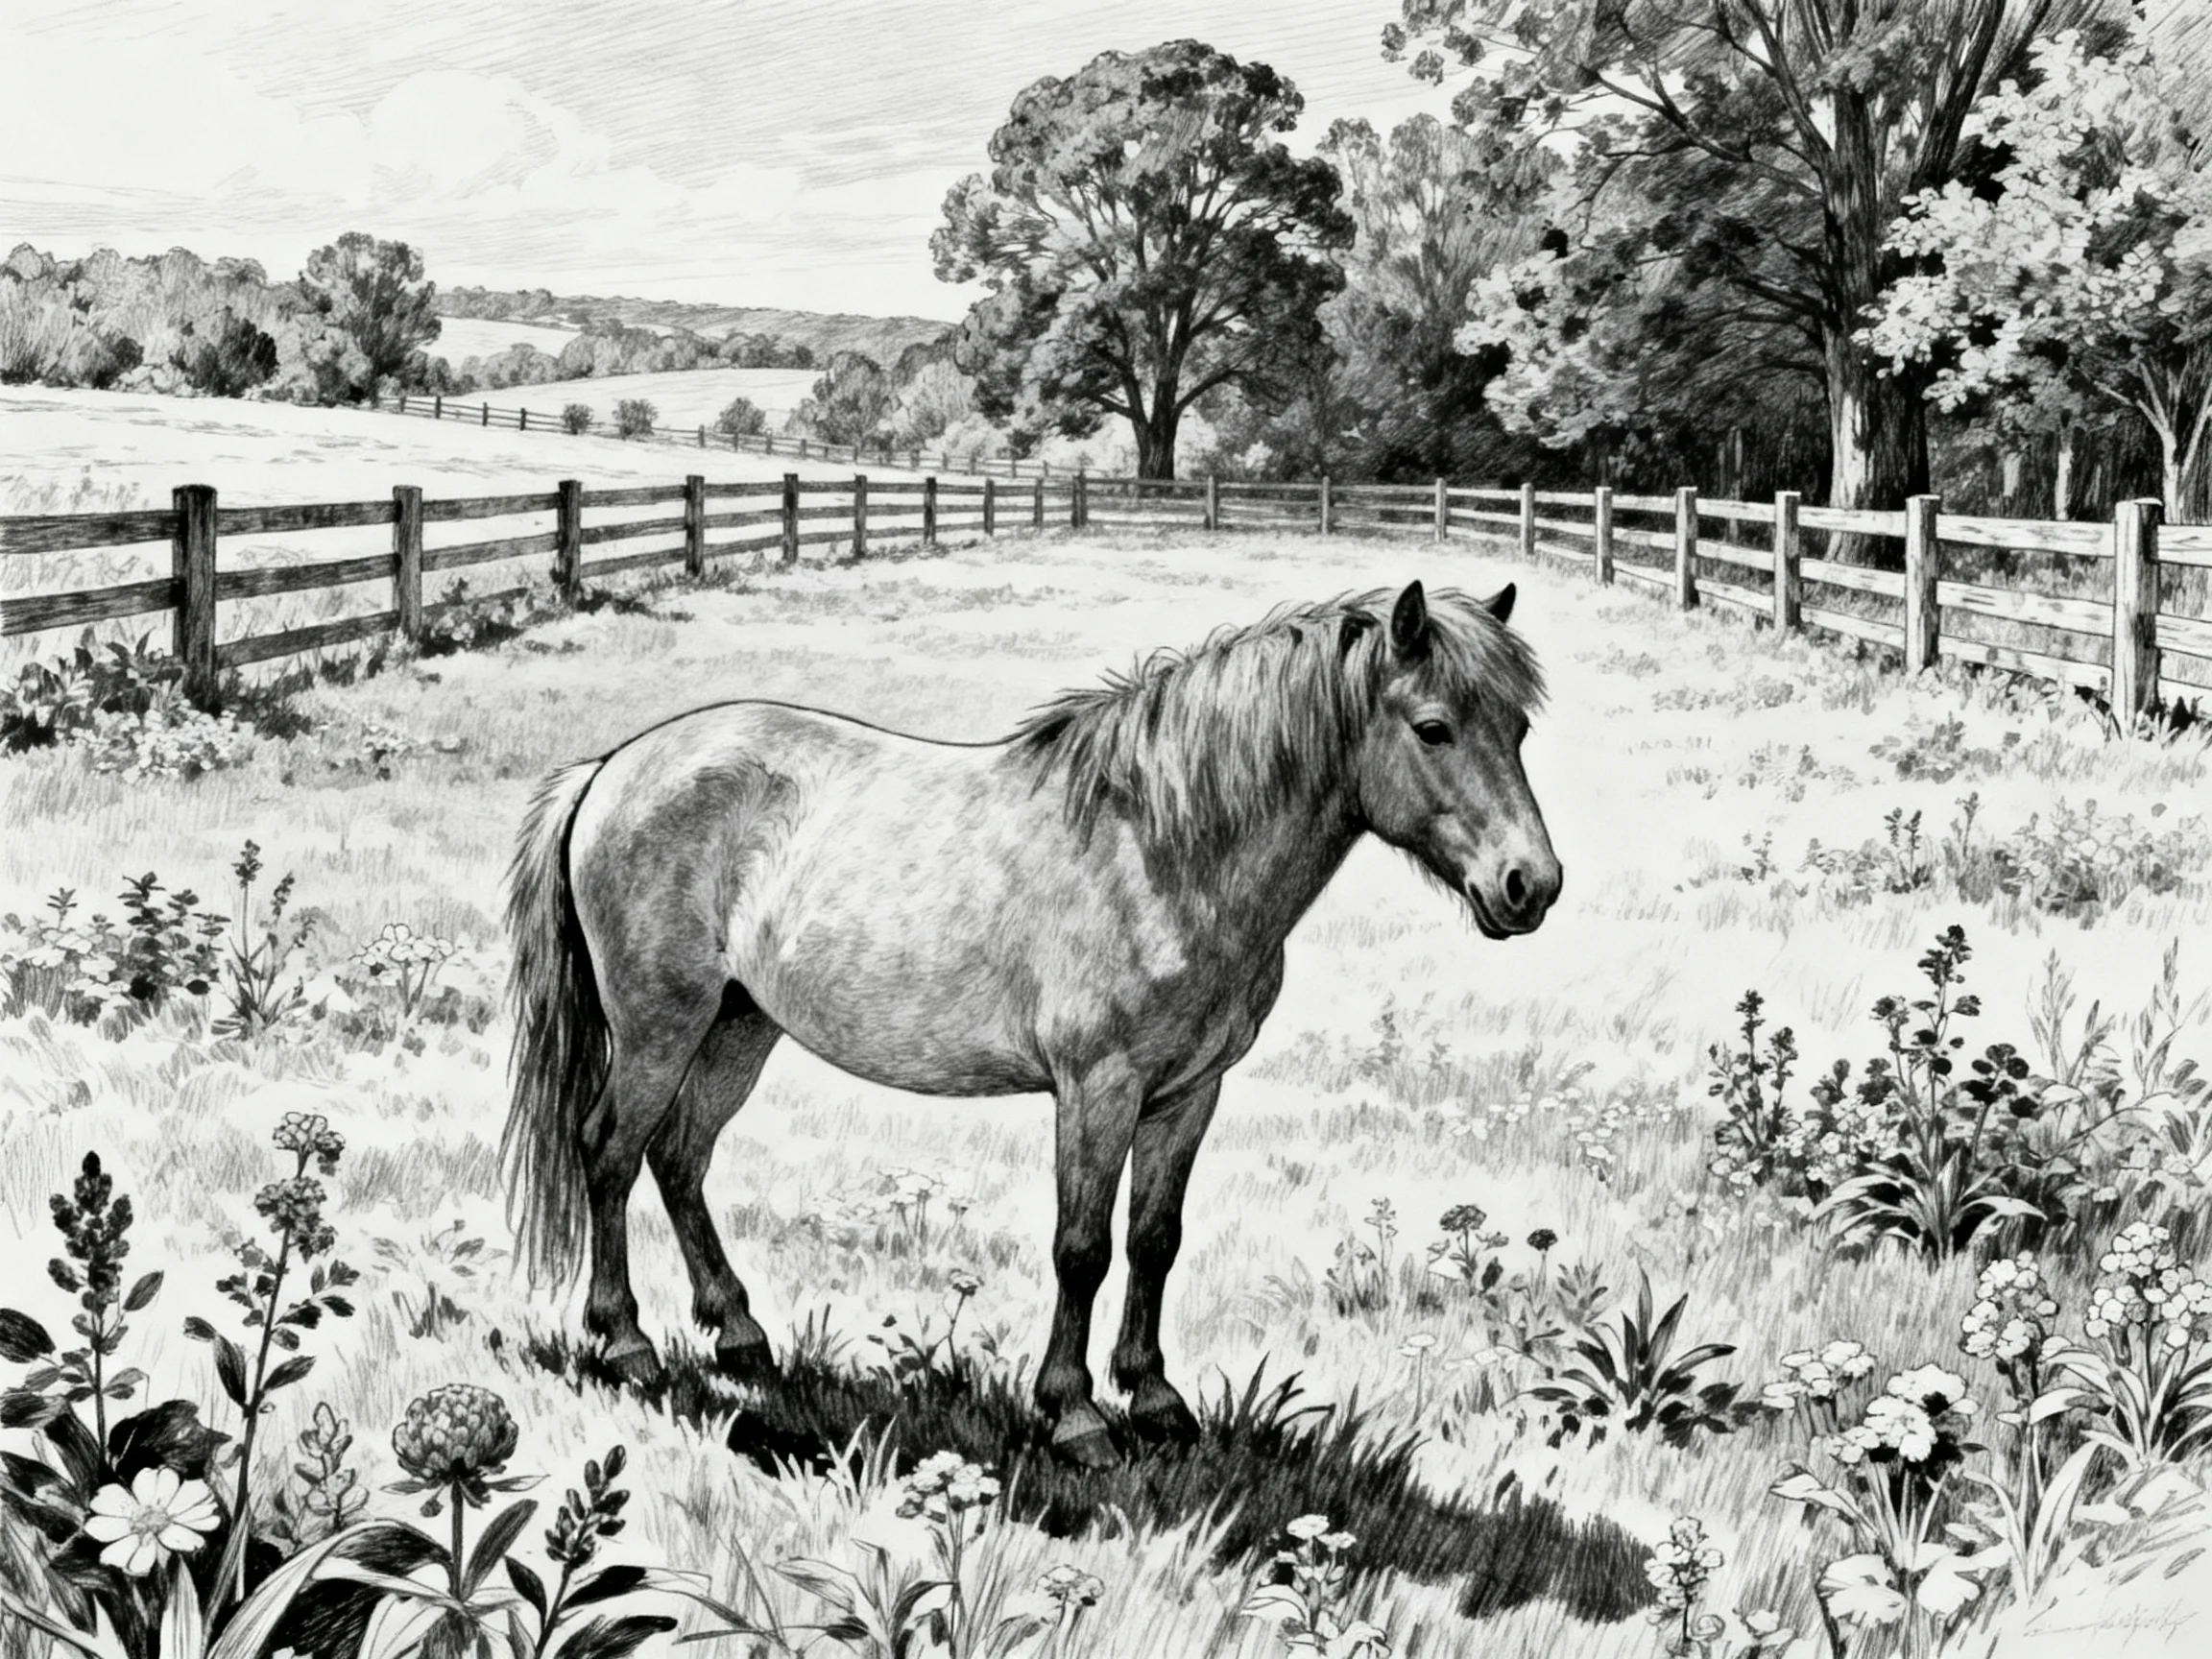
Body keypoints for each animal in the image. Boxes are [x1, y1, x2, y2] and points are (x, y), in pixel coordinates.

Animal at [501, 579, 1561, 1467]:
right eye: (1433, 727)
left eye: (1517, 727)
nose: (1531, 886)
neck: (1162, 850)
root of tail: (612, 767)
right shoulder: (1098, 1087)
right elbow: (1081, 1247)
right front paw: (1076, 1414)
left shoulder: (1189, 1092)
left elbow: (1155, 1238)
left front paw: (1156, 1400)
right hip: (660, 1024)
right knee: (609, 1151)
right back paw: (628, 1343)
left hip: (737, 1026)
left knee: (680, 1158)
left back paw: (741, 1335)